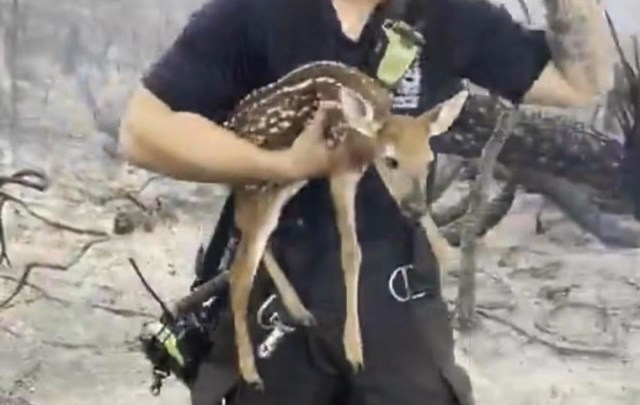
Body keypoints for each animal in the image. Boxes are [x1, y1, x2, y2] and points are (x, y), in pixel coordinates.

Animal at [210, 60, 467, 389]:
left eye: (429, 160)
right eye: (391, 161)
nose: (413, 207)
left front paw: (449, 256)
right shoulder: (339, 171)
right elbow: (351, 253)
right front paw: (354, 351)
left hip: (284, 182)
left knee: (251, 235)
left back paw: (300, 310)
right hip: (259, 185)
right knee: (240, 272)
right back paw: (251, 372)